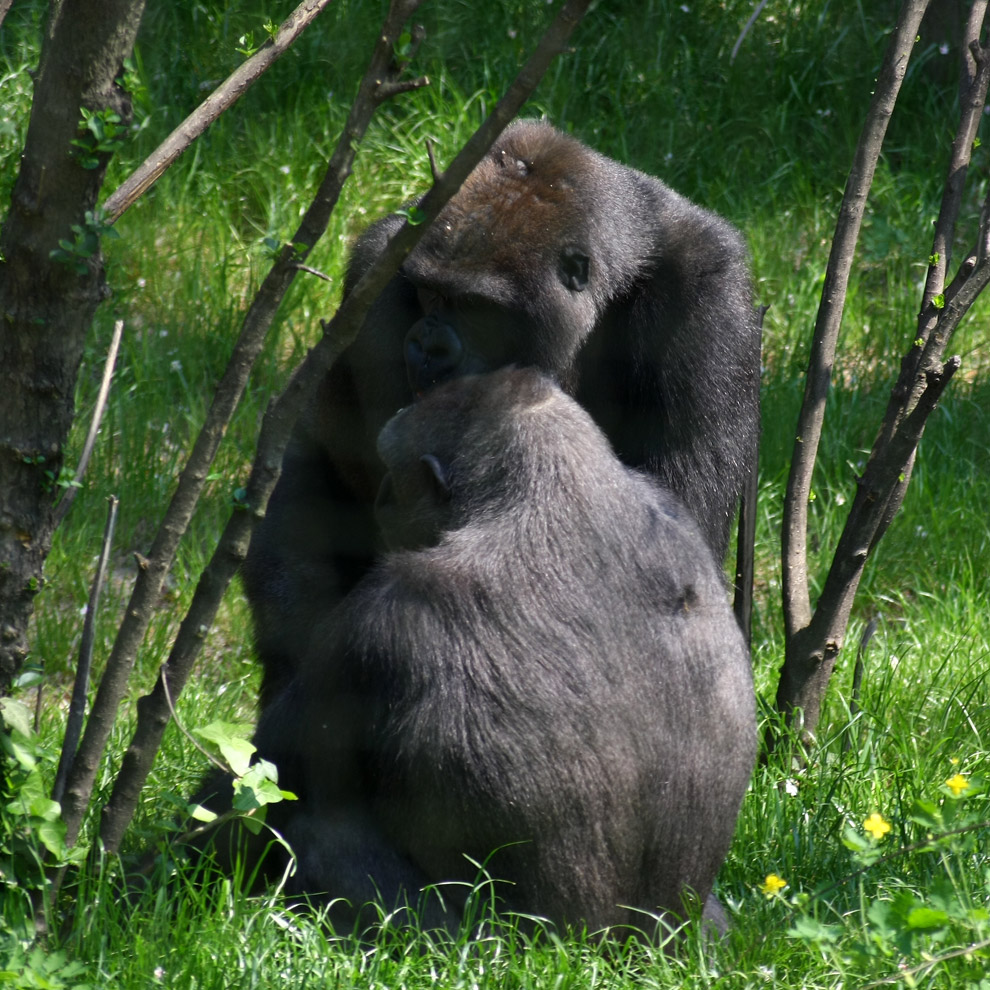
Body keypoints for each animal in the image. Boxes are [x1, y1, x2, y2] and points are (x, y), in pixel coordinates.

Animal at [236, 370, 756, 936]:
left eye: (396, 473)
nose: (381, 497)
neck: (557, 494)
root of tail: (612, 948)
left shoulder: (382, 618)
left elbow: (253, 790)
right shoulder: (673, 511)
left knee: (322, 836)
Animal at [244, 120, 764, 704]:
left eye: (475, 307)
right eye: (430, 294)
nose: (427, 347)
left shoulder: (707, 298)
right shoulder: (379, 272)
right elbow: (323, 471)